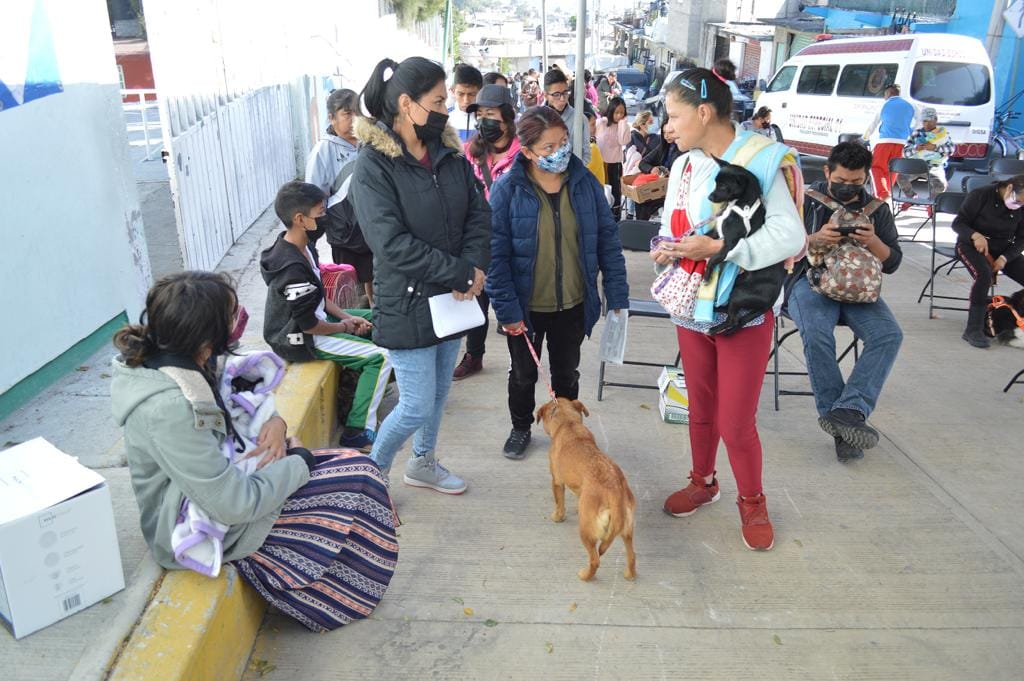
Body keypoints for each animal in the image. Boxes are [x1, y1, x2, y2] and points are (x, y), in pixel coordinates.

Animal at [532, 395, 634, 581]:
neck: (568, 423)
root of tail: (615, 492)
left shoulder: (557, 481)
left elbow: (559, 503)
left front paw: (558, 517)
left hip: (587, 531)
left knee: (595, 560)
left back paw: (585, 575)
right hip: (627, 531)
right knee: (632, 556)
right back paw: (630, 574)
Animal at [704, 158, 782, 337]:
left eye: (723, 186)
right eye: (716, 183)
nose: (709, 197)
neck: (737, 206)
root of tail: (772, 301)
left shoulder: (729, 244)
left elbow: (713, 258)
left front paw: (707, 275)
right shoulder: (716, 232)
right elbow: (699, 237)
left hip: (739, 294)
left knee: (734, 320)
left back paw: (715, 329)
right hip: (737, 288)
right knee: (732, 315)